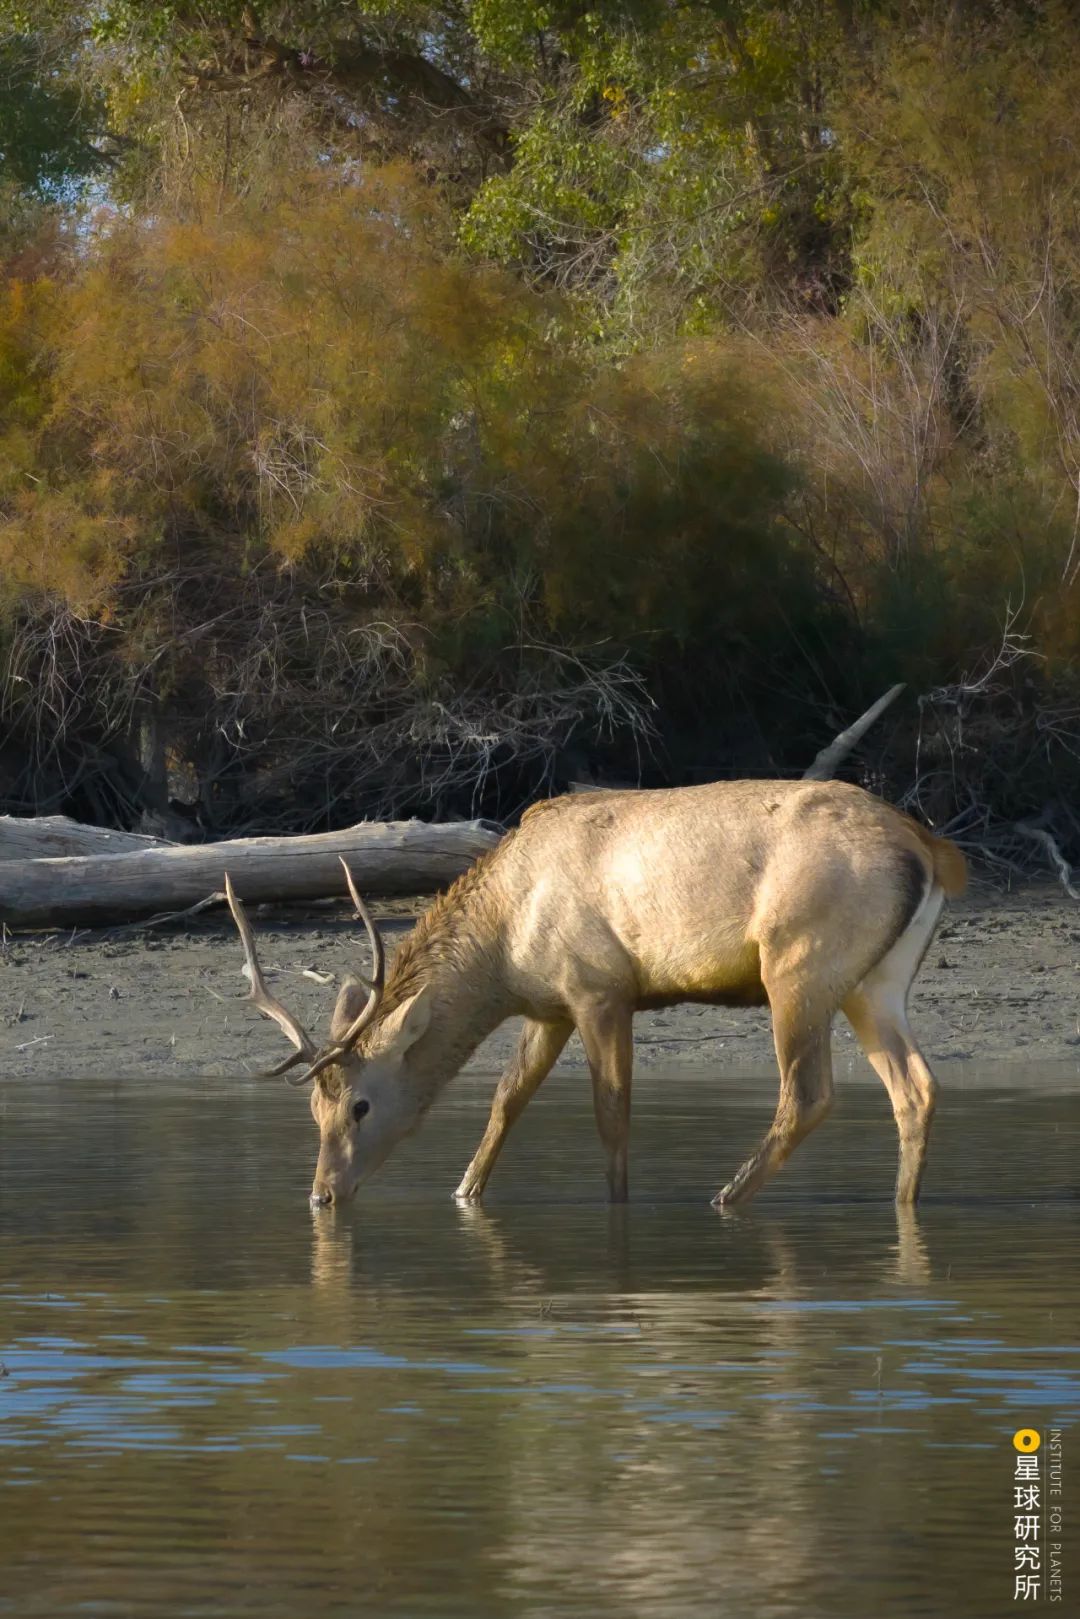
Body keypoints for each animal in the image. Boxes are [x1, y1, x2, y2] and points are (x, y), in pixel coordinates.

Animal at [223, 777, 965, 1211]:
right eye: (313, 1110)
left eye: (360, 1105)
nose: (322, 1195)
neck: (503, 945)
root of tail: (931, 848)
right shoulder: (549, 1005)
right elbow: (506, 1098)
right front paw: (465, 1193)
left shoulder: (599, 984)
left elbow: (612, 1114)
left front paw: (617, 1207)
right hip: (874, 981)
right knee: (917, 1087)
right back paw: (904, 1202)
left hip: (798, 962)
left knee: (809, 1092)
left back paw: (725, 1198)